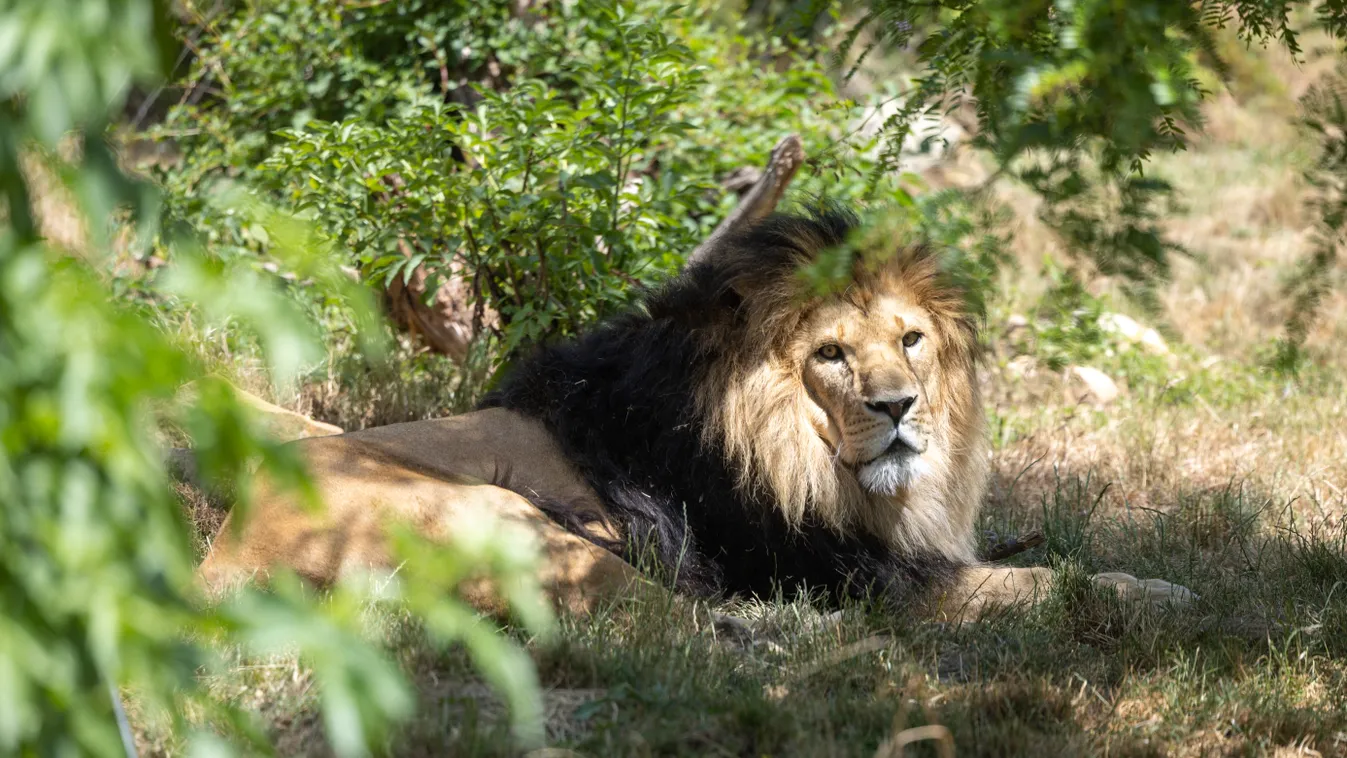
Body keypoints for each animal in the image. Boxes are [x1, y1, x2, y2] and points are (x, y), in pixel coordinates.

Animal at [196, 207, 1190, 622]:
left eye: (909, 339)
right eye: (830, 356)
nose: (899, 407)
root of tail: (220, 559)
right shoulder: (857, 575)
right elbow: (1038, 584)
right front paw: (1164, 593)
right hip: (514, 524)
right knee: (664, 623)